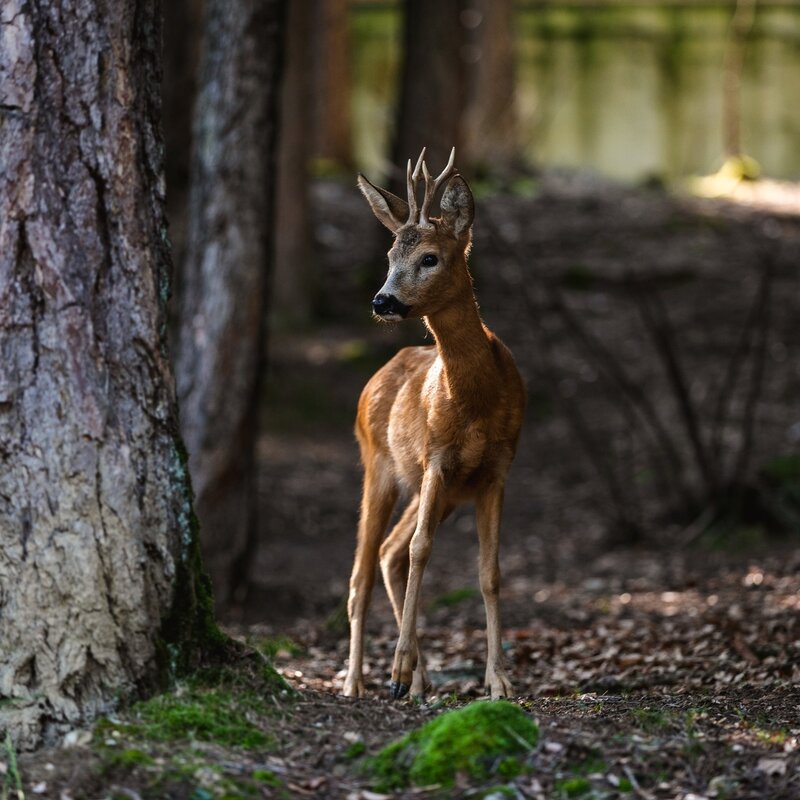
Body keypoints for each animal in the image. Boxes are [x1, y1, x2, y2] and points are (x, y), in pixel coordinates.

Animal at [342, 145, 524, 700]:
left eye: (430, 257)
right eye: (388, 258)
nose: (382, 300)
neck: (477, 401)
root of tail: (377, 375)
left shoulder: (495, 470)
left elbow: (490, 571)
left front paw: (499, 680)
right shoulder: (436, 459)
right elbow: (423, 551)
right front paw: (397, 669)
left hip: (435, 489)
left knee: (389, 552)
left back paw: (418, 680)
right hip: (380, 467)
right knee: (362, 573)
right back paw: (359, 681)